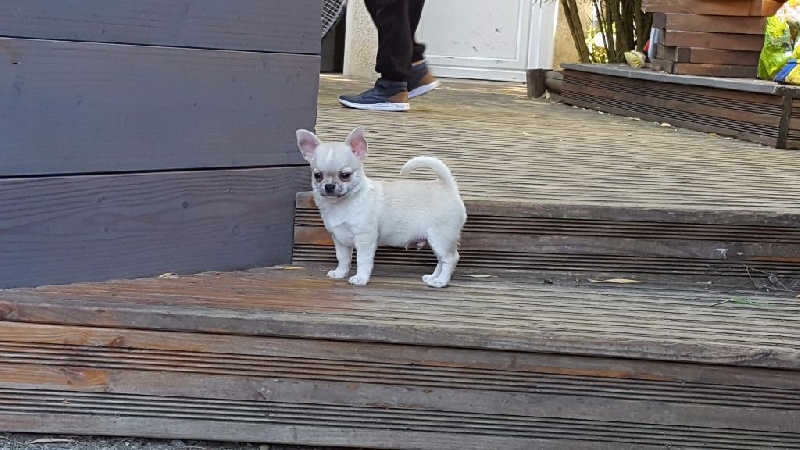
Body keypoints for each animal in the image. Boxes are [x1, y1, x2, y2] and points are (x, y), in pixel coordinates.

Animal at [295, 126, 467, 288]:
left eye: (345, 175)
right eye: (318, 175)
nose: (329, 186)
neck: (343, 203)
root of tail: (448, 186)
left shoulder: (365, 239)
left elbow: (363, 261)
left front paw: (360, 278)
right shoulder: (340, 240)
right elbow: (343, 258)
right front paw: (340, 273)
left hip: (441, 237)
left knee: (450, 258)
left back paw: (441, 281)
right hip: (436, 240)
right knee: (441, 260)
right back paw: (433, 278)